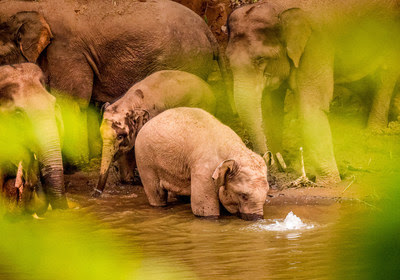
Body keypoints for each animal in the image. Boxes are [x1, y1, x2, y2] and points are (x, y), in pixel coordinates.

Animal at [134, 108, 268, 220]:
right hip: (144, 158)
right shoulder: (204, 170)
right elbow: (203, 208)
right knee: (156, 192)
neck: (235, 149)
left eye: (267, 193)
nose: (257, 219)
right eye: (243, 195)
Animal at [225, 0, 400, 185]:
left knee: (387, 72)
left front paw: (329, 182)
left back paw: (375, 131)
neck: (278, 8)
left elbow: (311, 106)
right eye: (228, 59)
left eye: (260, 59)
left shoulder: (316, 45)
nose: (275, 159)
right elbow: (270, 108)